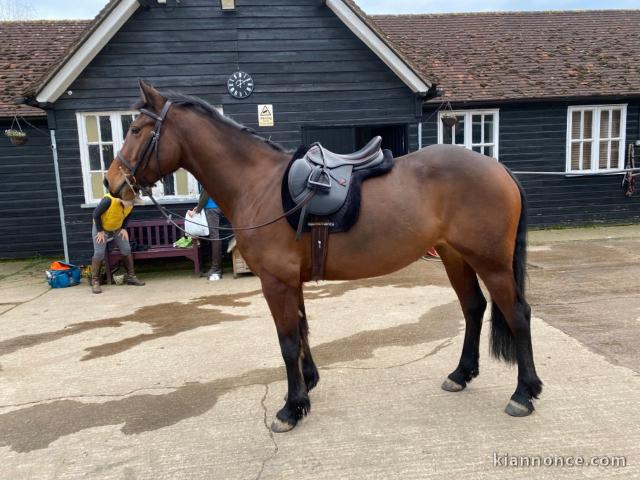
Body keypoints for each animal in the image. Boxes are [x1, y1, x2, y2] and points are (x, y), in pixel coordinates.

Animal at [105, 80, 543, 432]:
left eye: (136, 129)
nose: (112, 184)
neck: (258, 184)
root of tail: (500, 170)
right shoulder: (289, 280)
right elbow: (301, 331)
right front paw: (308, 387)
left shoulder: (276, 281)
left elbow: (286, 341)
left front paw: (290, 408)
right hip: (455, 257)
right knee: (473, 308)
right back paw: (461, 374)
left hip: (491, 262)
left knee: (518, 314)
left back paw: (524, 393)